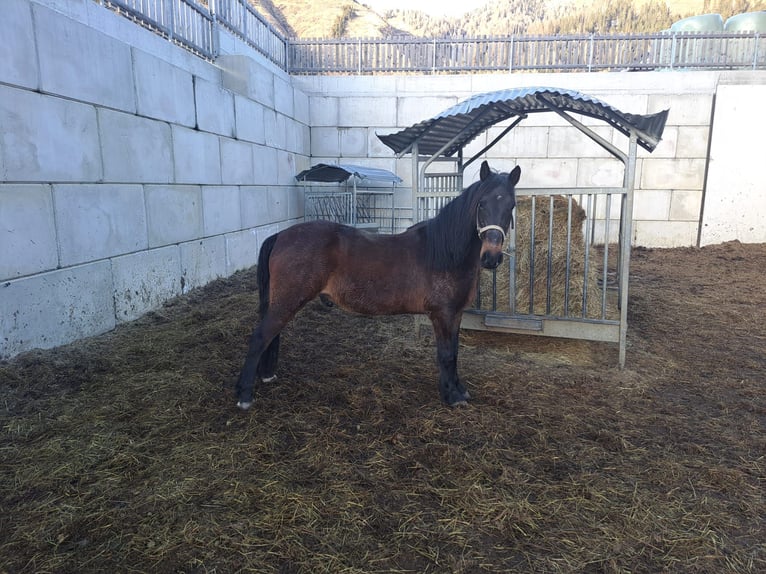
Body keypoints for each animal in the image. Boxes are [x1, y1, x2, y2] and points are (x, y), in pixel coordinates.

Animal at [235, 160, 521, 409]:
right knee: (260, 337)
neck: (445, 252)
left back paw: (266, 376)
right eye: (481, 205)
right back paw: (244, 396)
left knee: (271, 336)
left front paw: (459, 390)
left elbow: (455, 352)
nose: (491, 257)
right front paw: (452, 396)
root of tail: (281, 235)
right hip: (287, 301)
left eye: (511, 206)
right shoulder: (442, 315)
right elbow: (446, 355)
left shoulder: (456, 315)